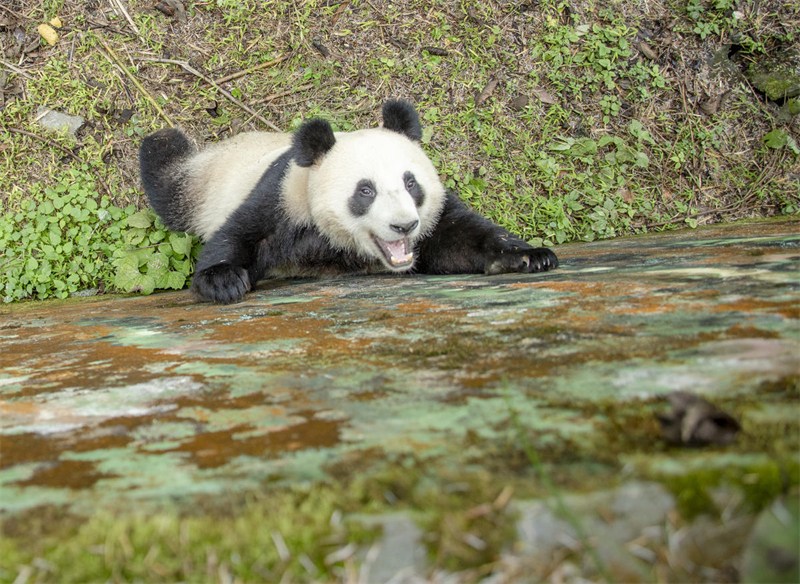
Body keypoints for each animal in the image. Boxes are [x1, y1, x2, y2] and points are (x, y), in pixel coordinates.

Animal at [139, 98, 556, 304]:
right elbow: (240, 234)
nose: (404, 226)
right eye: (365, 191)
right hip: (209, 182)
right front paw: (223, 281)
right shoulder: (284, 193)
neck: (340, 242)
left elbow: (461, 237)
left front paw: (528, 256)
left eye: (411, 183)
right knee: (170, 184)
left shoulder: (434, 217)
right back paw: (162, 141)